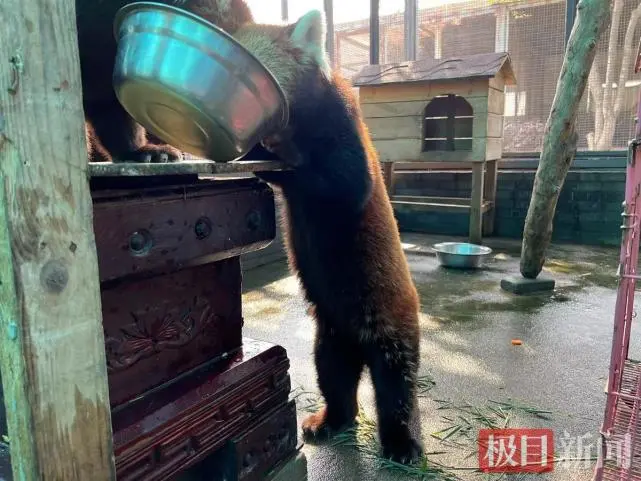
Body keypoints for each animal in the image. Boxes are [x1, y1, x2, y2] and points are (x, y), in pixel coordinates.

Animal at [232, 10, 424, 464]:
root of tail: (359, 341)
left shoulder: (344, 131)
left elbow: (341, 182)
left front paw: (270, 159)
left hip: (392, 326)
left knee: (396, 388)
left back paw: (402, 443)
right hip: (329, 337)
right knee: (334, 378)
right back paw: (328, 420)